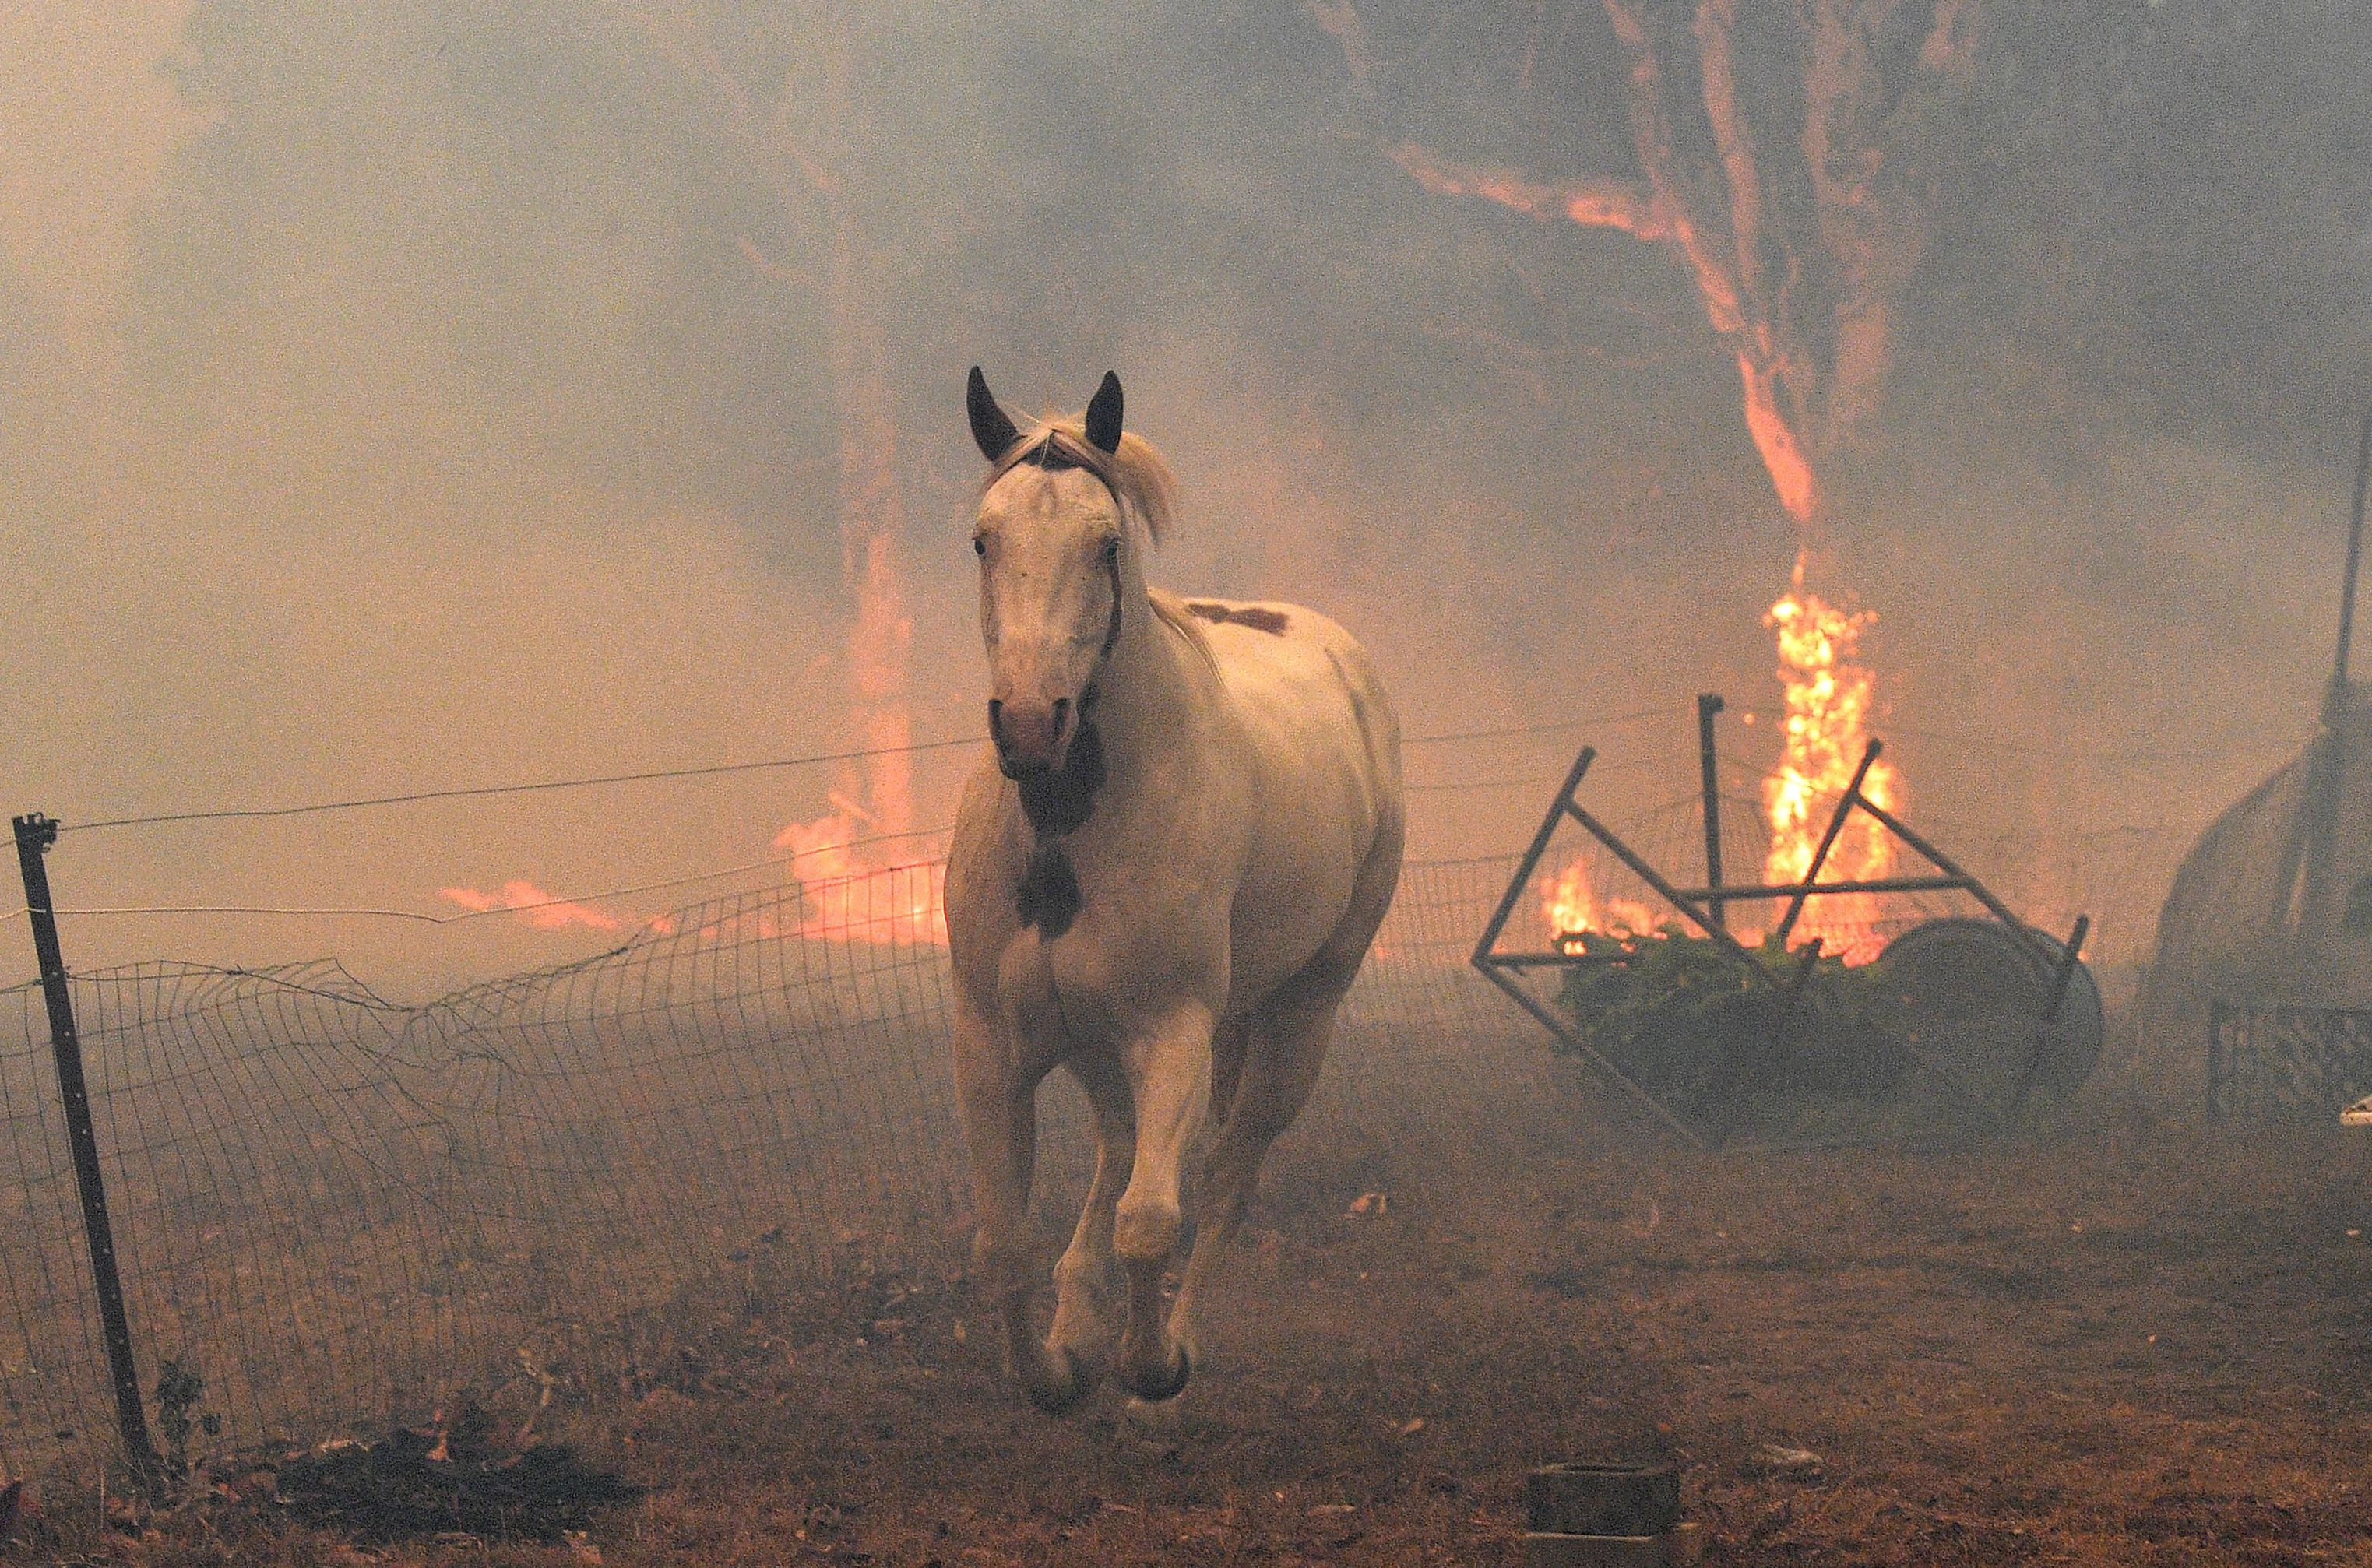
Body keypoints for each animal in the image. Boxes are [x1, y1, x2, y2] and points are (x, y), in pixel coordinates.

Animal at [944, 370, 1395, 1404]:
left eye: (1105, 543)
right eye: (985, 539)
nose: (1029, 724)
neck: (1067, 832)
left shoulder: (1175, 1028)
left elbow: (1153, 1220)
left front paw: (1148, 1364)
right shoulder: (993, 1043)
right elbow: (1002, 1242)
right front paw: (1054, 1368)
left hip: (1300, 1015)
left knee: (1229, 1171)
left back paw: (1178, 1336)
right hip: (1101, 1046)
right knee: (1120, 1151)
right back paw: (1078, 1314)